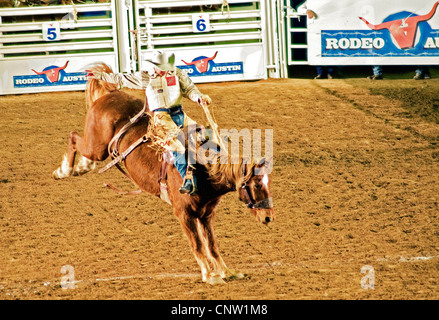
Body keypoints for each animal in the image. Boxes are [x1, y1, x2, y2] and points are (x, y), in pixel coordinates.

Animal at [52, 63, 276, 284]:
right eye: (257, 184)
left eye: (267, 183)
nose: (269, 218)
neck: (204, 171)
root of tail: (111, 94)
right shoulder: (184, 214)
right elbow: (198, 245)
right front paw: (210, 274)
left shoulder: (206, 215)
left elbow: (212, 244)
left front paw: (225, 271)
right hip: (97, 147)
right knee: (74, 137)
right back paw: (64, 171)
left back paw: (80, 167)